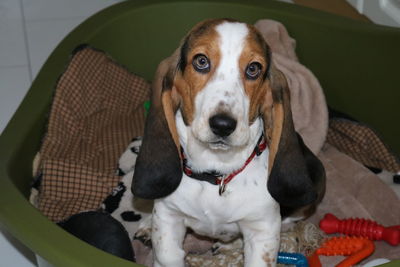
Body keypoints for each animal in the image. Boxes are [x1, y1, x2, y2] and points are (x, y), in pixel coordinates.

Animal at [131, 18, 324, 267]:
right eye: (201, 61)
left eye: (253, 68)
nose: (223, 125)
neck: (217, 173)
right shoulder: (168, 217)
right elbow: (167, 255)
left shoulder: (263, 230)